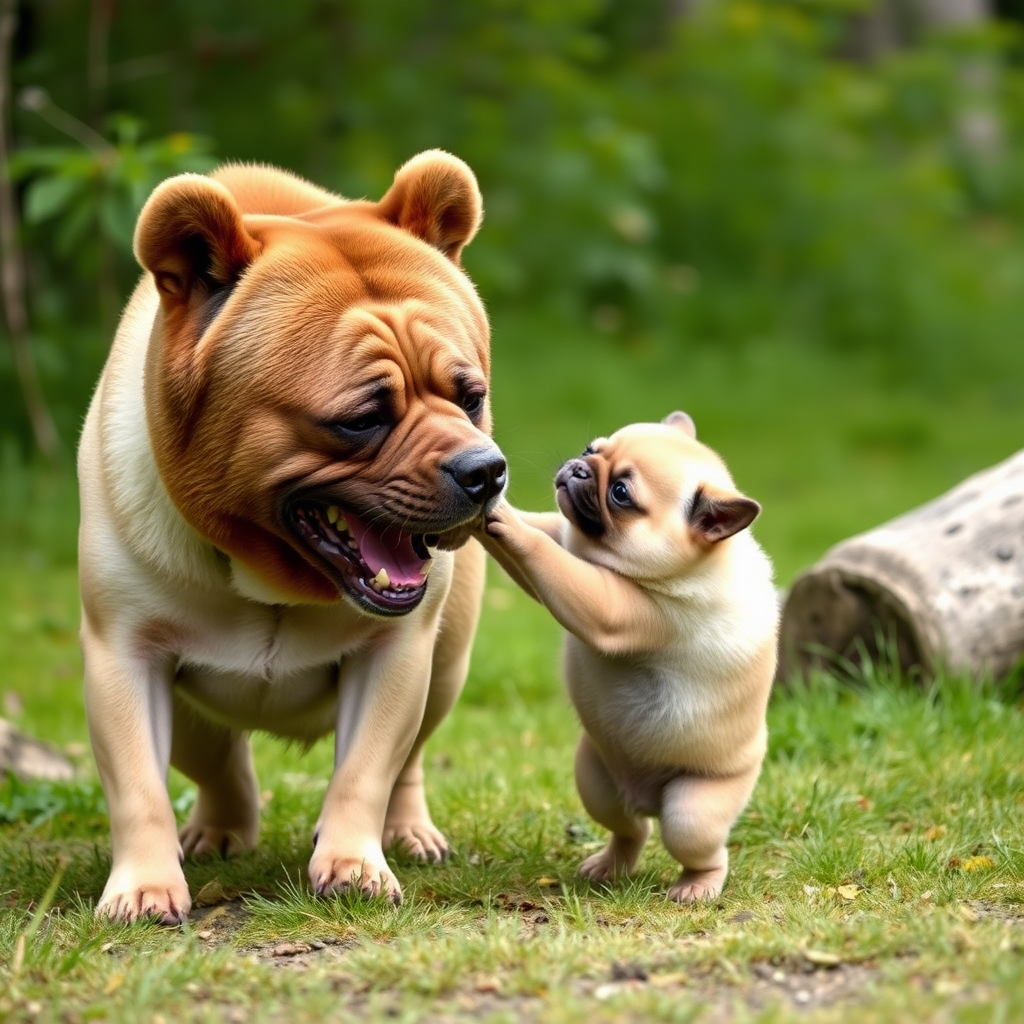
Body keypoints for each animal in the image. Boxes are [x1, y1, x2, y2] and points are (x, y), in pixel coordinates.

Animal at [78, 148, 503, 925]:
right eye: (362, 420)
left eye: (471, 397)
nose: (484, 469)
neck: (270, 572)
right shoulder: (124, 651)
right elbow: (137, 786)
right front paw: (144, 886)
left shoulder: (397, 653)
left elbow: (367, 768)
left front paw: (353, 866)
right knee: (216, 762)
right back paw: (218, 832)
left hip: (447, 661)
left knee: (409, 757)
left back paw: (407, 831)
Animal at [477, 411, 774, 901]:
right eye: (590, 450)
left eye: (620, 493)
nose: (580, 468)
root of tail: (646, 799)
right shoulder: (565, 534)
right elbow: (544, 531)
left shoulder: (615, 606)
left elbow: (543, 552)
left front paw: (505, 521)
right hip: (596, 781)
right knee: (631, 830)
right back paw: (611, 864)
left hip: (695, 810)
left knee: (695, 843)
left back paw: (699, 884)